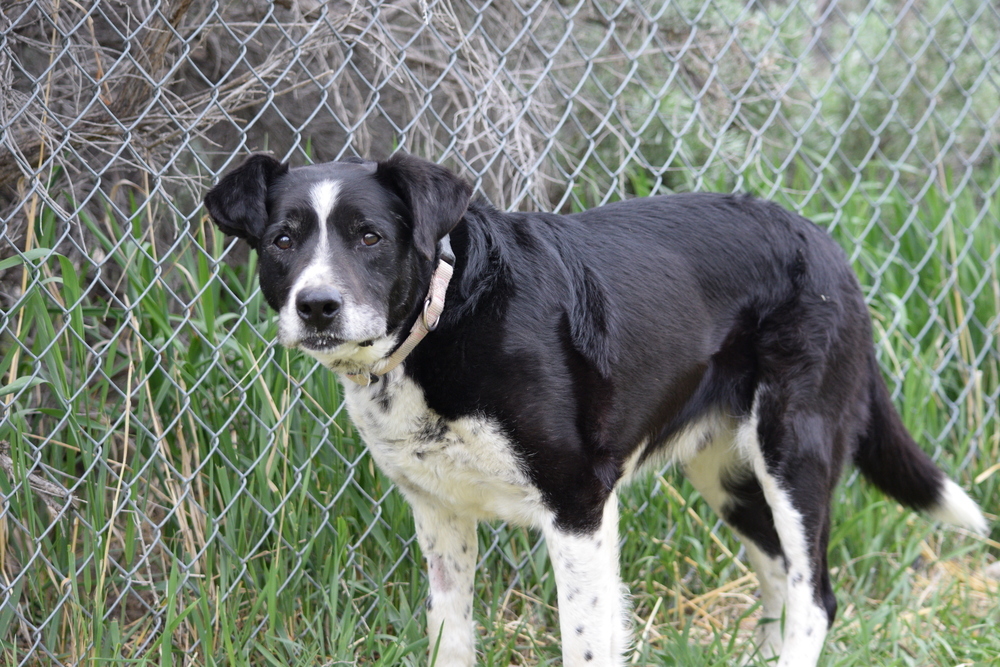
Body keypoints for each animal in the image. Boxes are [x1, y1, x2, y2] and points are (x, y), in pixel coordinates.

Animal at [203, 153, 984, 667]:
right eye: (283, 240)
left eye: (369, 236)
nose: (317, 306)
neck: (446, 316)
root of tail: (823, 243)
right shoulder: (440, 513)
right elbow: (451, 636)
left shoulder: (577, 504)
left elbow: (585, 639)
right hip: (726, 472)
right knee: (777, 570)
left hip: (794, 447)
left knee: (815, 594)